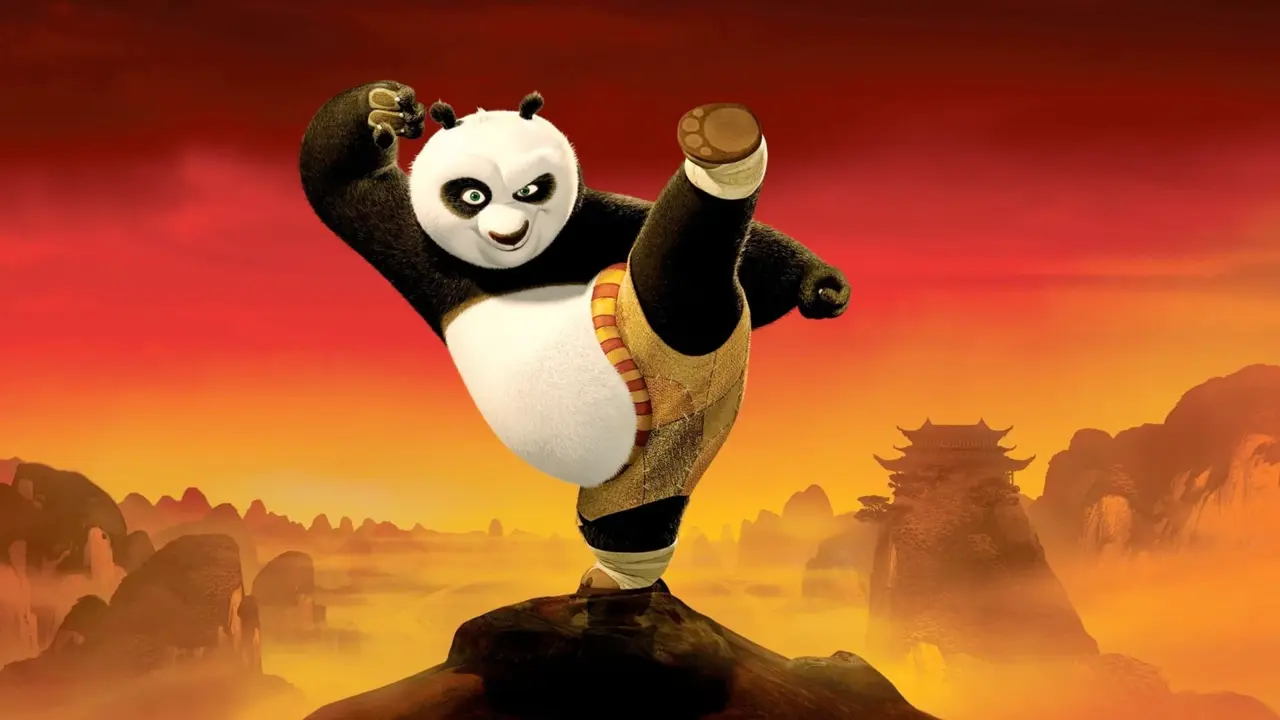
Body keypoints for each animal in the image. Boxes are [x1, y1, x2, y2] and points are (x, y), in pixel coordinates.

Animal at [299, 81, 850, 594]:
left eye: (532, 190)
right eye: (473, 194)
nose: (508, 233)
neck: (525, 266)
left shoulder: (593, 224)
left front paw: (819, 284)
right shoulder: (420, 248)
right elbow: (347, 188)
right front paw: (383, 106)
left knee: (683, 280)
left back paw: (717, 153)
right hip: (646, 451)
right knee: (628, 512)